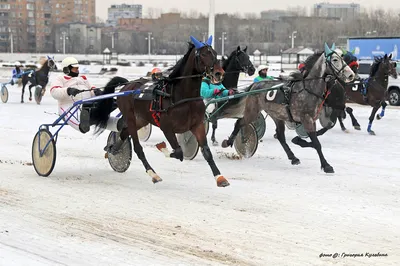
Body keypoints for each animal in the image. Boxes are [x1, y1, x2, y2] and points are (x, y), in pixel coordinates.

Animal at [89, 35, 230, 187]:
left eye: (215, 53)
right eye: (204, 54)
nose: (219, 73)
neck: (182, 96)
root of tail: (127, 86)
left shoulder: (197, 125)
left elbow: (206, 152)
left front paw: (220, 178)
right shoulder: (166, 127)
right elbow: (178, 152)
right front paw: (162, 147)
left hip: (141, 120)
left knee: (123, 133)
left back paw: (113, 149)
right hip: (131, 118)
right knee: (138, 147)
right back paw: (153, 174)